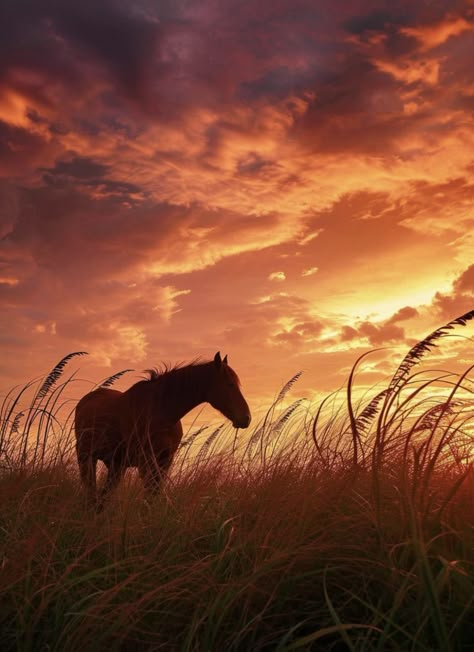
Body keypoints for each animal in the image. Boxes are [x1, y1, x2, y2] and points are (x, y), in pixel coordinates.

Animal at [74, 352, 250, 510]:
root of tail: (85, 400)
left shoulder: (165, 461)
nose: (247, 418)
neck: (161, 412)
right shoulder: (146, 461)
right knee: (91, 489)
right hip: (86, 458)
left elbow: (154, 494)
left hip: (116, 465)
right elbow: (150, 493)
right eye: (230, 384)